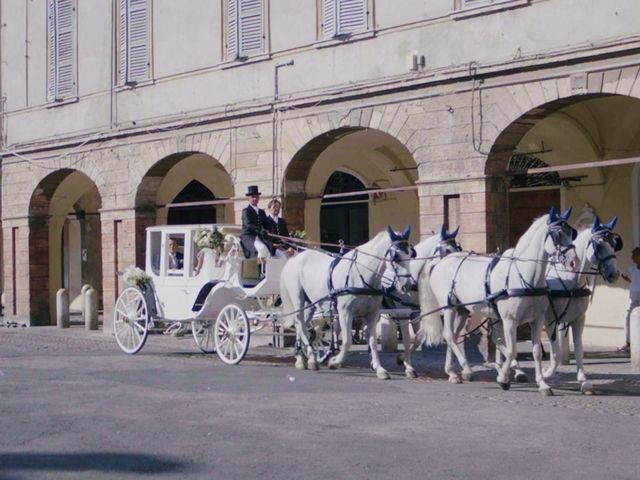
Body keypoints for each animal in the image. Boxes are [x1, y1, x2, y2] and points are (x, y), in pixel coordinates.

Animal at [280, 225, 416, 378]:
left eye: (410, 255)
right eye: (396, 257)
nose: (407, 286)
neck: (361, 274)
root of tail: (295, 258)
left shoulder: (372, 314)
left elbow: (372, 341)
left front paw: (379, 368)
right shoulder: (345, 312)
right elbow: (347, 341)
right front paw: (334, 362)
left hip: (311, 305)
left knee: (300, 324)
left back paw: (301, 359)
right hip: (298, 299)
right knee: (301, 324)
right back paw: (311, 358)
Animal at [382, 225, 462, 378]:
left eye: (458, 249)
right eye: (445, 251)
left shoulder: (418, 312)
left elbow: (418, 336)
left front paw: (403, 358)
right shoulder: (403, 311)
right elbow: (407, 338)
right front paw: (409, 368)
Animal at [422, 207, 576, 394]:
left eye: (571, 232)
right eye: (557, 234)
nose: (573, 262)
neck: (523, 275)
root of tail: (441, 263)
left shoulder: (536, 320)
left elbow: (536, 352)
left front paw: (542, 384)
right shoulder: (510, 320)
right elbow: (511, 350)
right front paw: (503, 379)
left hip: (462, 310)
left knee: (455, 336)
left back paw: (452, 372)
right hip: (449, 307)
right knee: (449, 336)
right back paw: (466, 369)